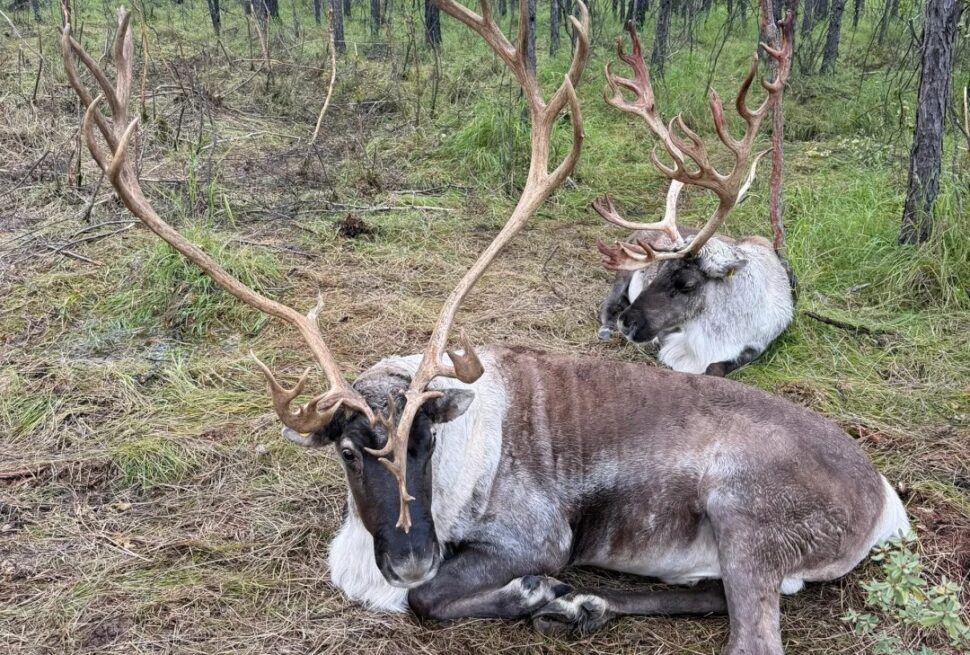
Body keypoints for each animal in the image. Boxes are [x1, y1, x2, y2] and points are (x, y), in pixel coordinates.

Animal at [594, 21, 796, 377]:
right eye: (656, 272)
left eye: (687, 284)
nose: (627, 323)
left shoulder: (755, 346)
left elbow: (717, 368)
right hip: (623, 269)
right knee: (607, 301)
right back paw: (606, 325)